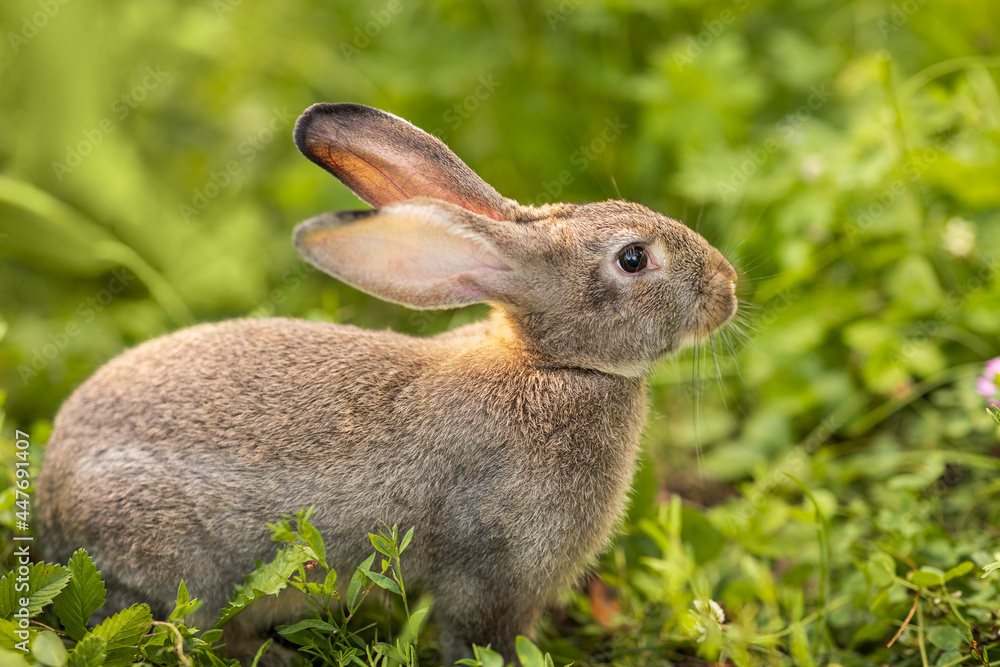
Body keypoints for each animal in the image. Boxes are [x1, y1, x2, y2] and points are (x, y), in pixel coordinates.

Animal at [36, 102, 738, 665]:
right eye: (633, 259)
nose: (728, 287)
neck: (551, 365)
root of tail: (49, 503)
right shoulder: (495, 573)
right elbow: (479, 638)